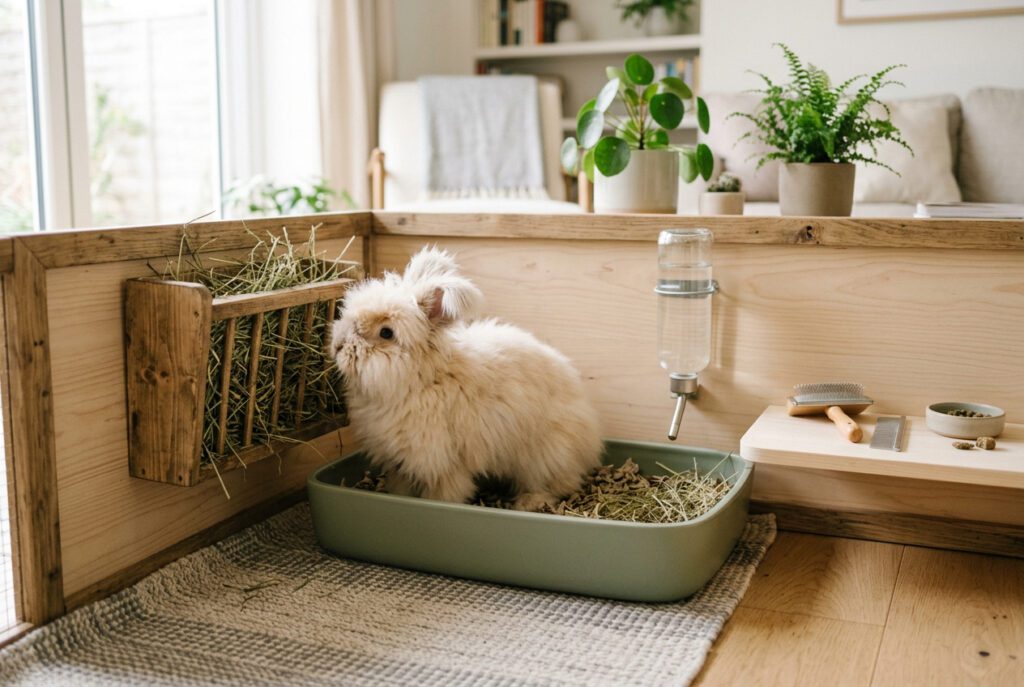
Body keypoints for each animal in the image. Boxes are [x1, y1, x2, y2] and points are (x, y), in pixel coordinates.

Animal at [330, 247, 602, 511]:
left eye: (386, 333)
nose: (338, 345)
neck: (422, 380)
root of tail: (591, 438)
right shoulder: (399, 463)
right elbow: (401, 488)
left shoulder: (444, 464)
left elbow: (444, 494)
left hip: (545, 458)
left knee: (557, 484)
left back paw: (529, 503)